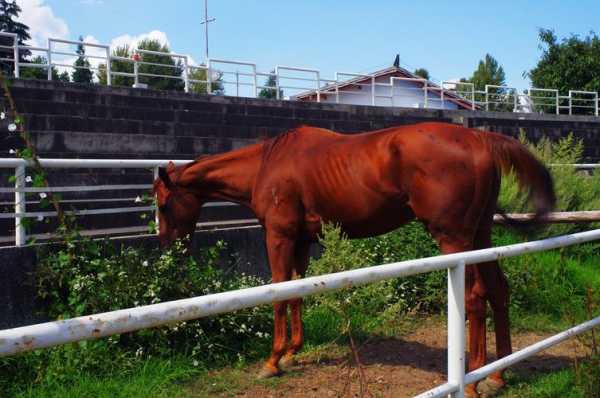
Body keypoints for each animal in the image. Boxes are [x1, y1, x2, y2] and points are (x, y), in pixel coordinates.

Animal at [154, 123, 552, 396]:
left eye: (162, 204)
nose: (167, 246)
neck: (268, 164)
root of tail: (480, 139)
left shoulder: (279, 237)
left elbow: (279, 291)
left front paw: (273, 359)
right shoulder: (301, 241)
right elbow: (296, 291)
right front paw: (293, 352)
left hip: (455, 242)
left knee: (474, 298)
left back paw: (470, 381)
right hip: (481, 236)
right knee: (498, 291)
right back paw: (498, 374)